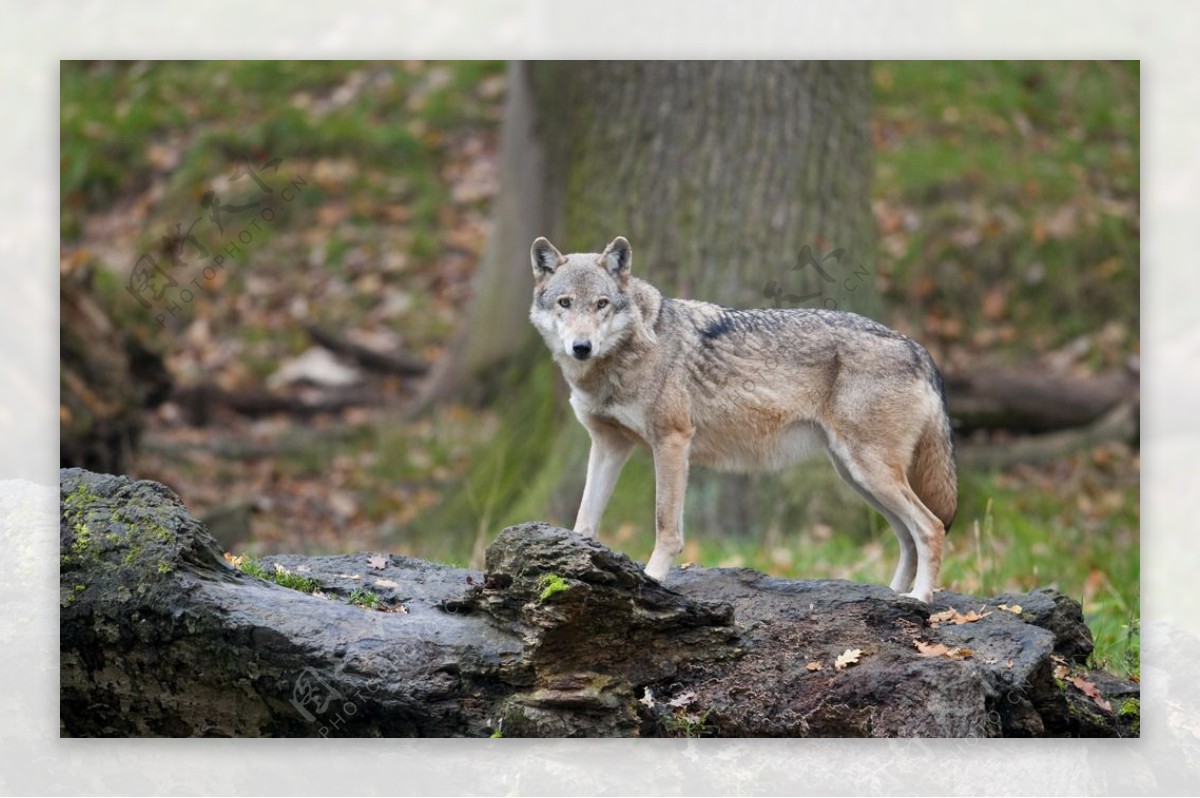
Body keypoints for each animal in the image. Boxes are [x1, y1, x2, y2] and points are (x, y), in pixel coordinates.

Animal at [525, 234, 955, 600]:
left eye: (601, 304)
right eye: (565, 303)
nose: (582, 346)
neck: (626, 355)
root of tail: (918, 348)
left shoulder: (672, 441)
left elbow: (666, 524)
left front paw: (654, 579)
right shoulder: (608, 445)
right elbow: (585, 519)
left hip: (870, 472)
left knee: (930, 527)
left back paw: (919, 599)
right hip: (857, 476)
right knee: (907, 536)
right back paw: (892, 596)